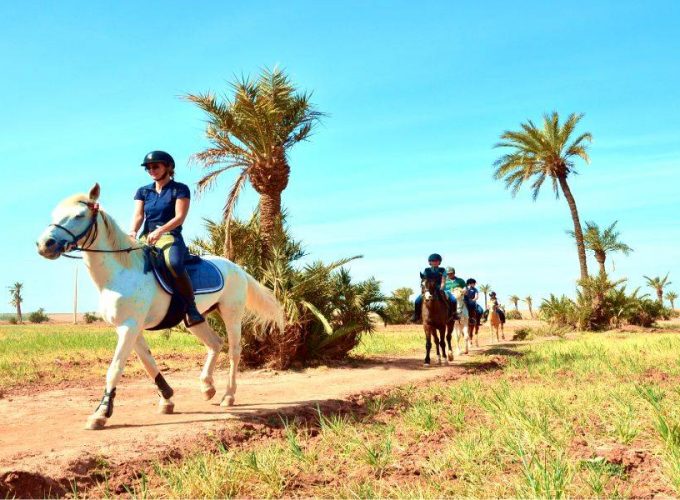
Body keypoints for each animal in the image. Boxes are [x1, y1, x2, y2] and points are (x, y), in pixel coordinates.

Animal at [36, 184, 284, 430]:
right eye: (54, 214)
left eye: (79, 215)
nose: (44, 245)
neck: (121, 273)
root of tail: (237, 267)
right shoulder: (130, 328)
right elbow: (148, 363)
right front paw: (167, 398)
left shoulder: (129, 327)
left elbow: (115, 369)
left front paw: (101, 413)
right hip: (195, 319)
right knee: (215, 343)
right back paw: (207, 387)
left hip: (231, 313)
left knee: (233, 351)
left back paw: (228, 396)